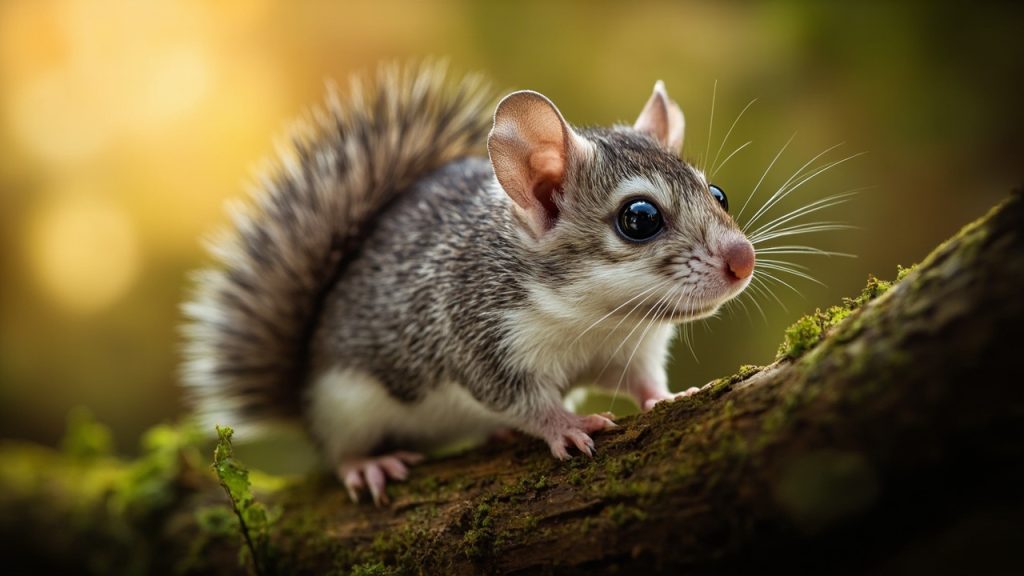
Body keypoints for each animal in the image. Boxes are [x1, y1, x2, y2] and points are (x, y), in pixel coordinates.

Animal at [181, 62, 755, 505]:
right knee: (338, 452)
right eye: (639, 218)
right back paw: (366, 466)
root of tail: (301, 388)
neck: (597, 317)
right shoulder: (477, 335)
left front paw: (666, 396)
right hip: (342, 405)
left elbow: (639, 379)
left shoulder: (631, 348)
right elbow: (518, 398)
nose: (742, 260)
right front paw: (564, 425)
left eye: (718, 194)